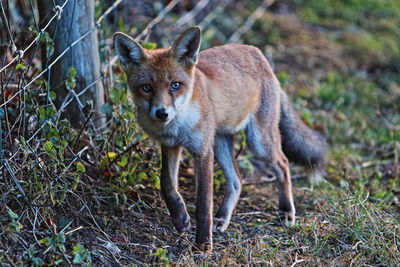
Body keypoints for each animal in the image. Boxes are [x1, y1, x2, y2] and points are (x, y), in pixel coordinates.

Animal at [114, 27, 326, 253]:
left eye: (175, 85)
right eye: (147, 87)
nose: (162, 113)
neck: (179, 124)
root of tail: (257, 53)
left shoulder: (202, 150)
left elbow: (203, 205)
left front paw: (203, 245)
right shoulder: (171, 145)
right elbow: (167, 185)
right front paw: (180, 219)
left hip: (259, 143)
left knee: (283, 164)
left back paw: (286, 211)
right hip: (221, 142)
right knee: (236, 181)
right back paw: (223, 218)